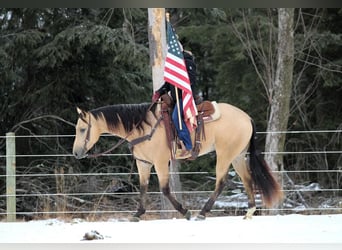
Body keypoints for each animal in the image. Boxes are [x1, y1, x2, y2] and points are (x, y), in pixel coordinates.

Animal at [72, 99, 284, 221]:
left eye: (82, 129)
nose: (75, 153)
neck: (143, 127)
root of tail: (247, 118)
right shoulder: (143, 163)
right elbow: (143, 187)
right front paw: (137, 214)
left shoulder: (160, 162)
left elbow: (165, 189)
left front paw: (185, 212)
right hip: (237, 156)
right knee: (247, 179)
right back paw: (249, 212)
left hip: (225, 155)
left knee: (221, 182)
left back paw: (202, 213)